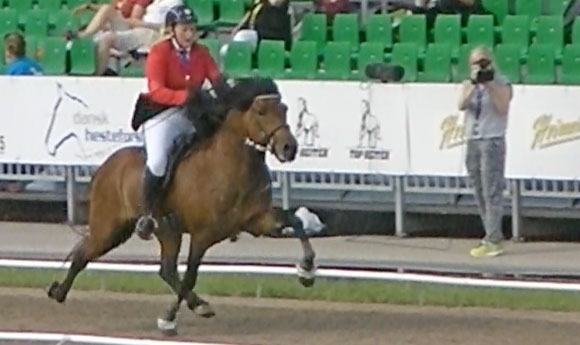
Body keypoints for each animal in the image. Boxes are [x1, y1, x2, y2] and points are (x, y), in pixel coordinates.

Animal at [46, 76, 320, 334]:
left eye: (284, 109)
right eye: (261, 111)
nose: (289, 148)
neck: (234, 165)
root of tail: (107, 165)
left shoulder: (257, 221)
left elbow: (295, 221)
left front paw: (306, 271)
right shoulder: (203, 235)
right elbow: (191, 275)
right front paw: (168, 319)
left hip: (166, 231)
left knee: (165, 269)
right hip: (110, 229)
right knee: (84, 255)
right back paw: (59, 292)